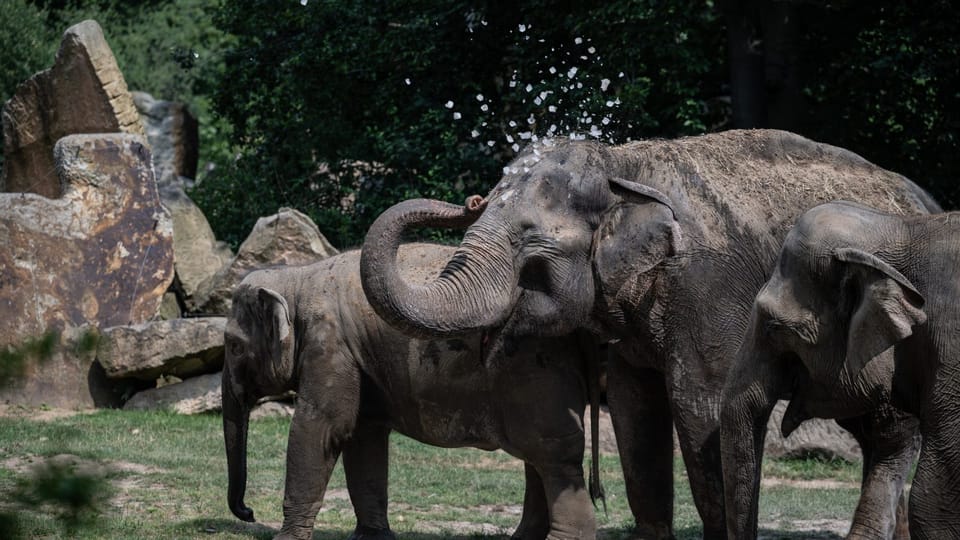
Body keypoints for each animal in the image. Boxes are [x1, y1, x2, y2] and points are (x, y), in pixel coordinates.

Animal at [221, 244, 604, 540]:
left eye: (234, 346)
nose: (248, 512)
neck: (298, 279)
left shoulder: (330, 346)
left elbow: (321, 428)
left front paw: (284, 539)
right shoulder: (357, 357)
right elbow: (363, 437)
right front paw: (372, 538)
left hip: (536, 371)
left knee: (552, 455)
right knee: (538, 456)